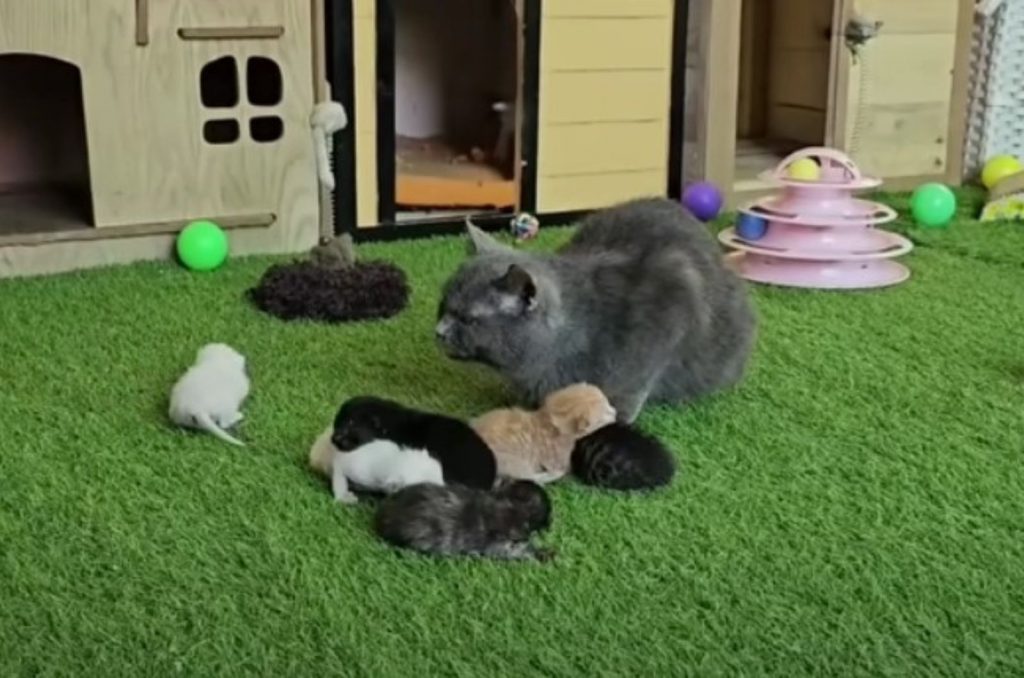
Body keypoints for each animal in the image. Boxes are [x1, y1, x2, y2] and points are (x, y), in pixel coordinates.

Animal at [307, 430, 444, 503]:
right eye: (426, 486)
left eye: (439, 474)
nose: (444, 488)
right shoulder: (355, 466)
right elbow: (339, 468)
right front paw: (343, 496)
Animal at [471, 385, 614, 485]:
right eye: (605, 414)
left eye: (608, 403)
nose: (615, 412)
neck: (549, 420)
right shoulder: (555, 458)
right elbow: (562, 468)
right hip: (515, 464)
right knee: (529, 478)